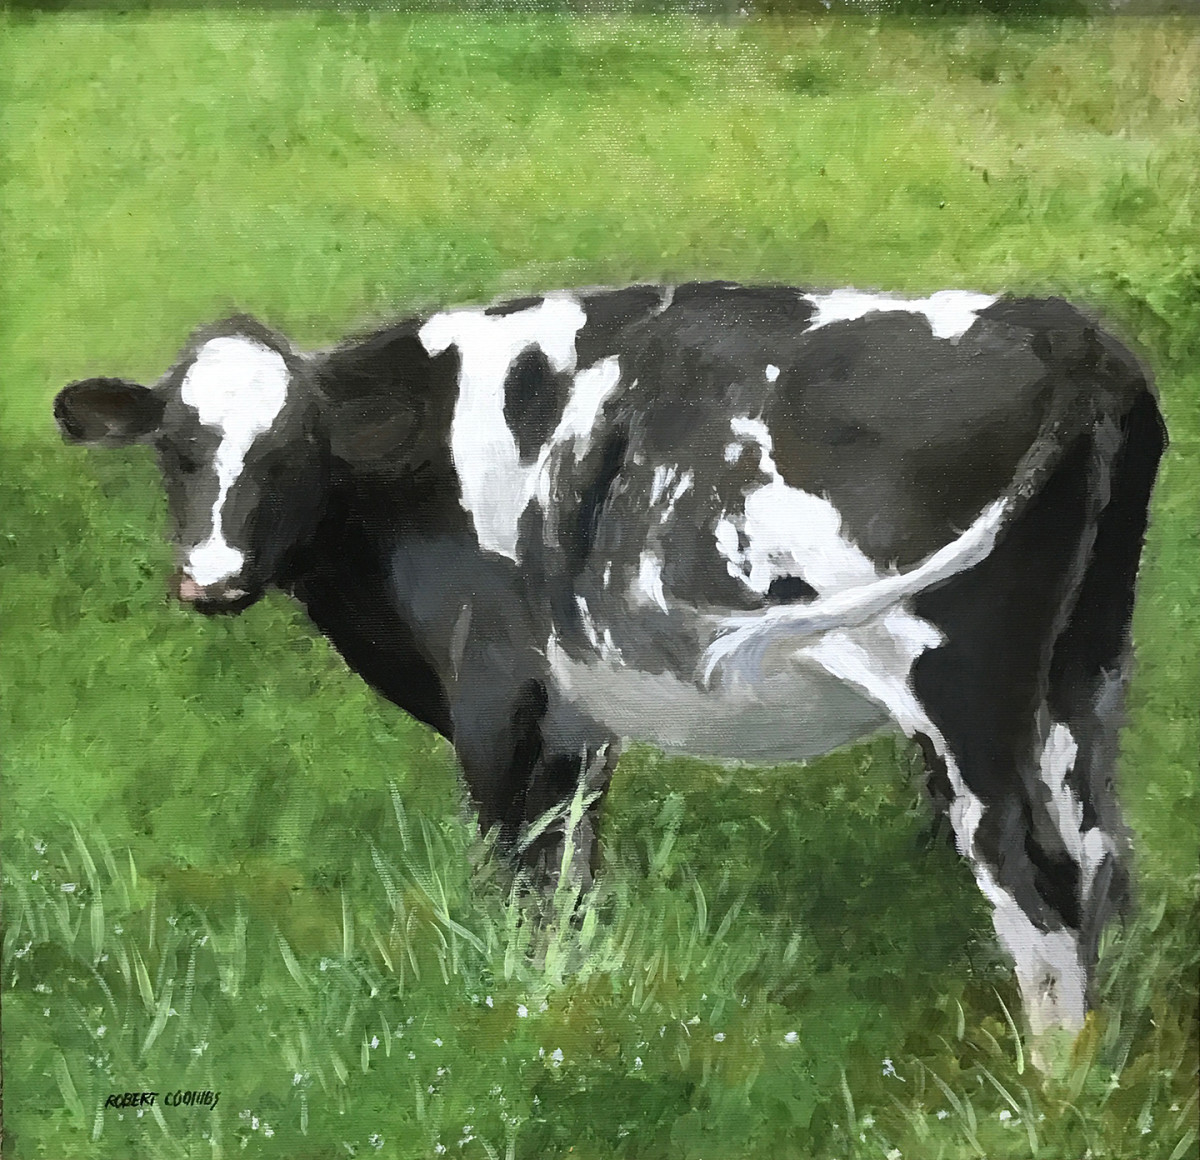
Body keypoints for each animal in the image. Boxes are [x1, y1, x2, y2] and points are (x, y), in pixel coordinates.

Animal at [54, 282, 1165, 1055]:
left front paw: (505, 1010)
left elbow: (510, 871)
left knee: (1035, 875)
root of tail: (1064, 332)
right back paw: (1098, 1082)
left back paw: (1048, 1088)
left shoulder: (494, 696)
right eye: (177, 450)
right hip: (1085, 671)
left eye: (290, 452)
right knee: (1101, 856)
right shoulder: (575, 720)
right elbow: (572, 876)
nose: (211, 579)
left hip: (964, 692)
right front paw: (566, 1004)